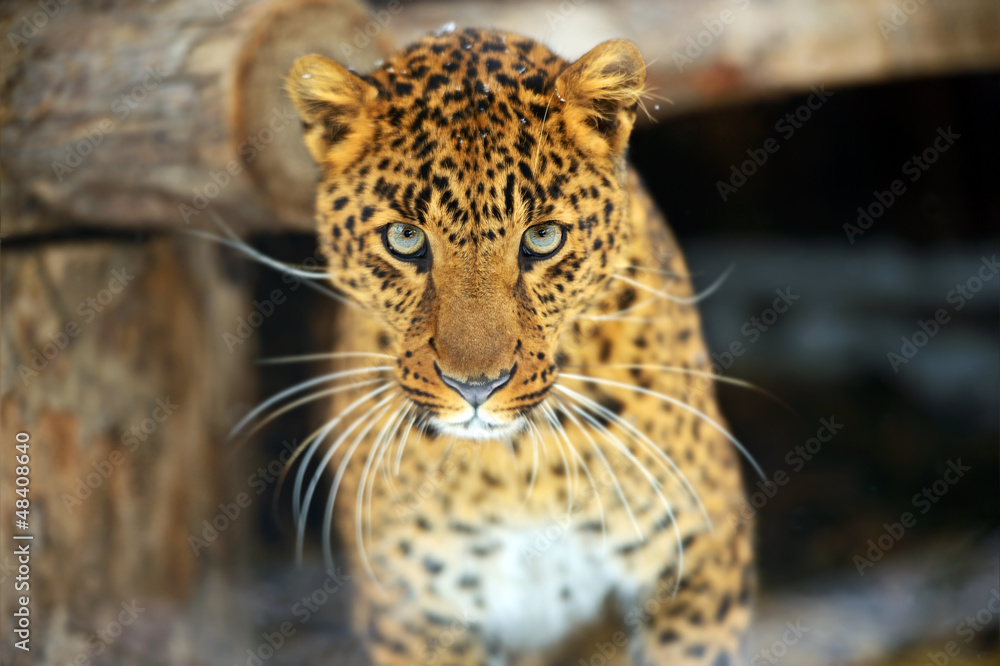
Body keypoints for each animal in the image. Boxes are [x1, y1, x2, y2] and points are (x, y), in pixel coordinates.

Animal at [285, 26, 753, 666]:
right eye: (404, 238)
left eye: (543, 237)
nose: (475, 387)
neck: (516, 471)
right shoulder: (414, 610)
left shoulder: (702, 557)